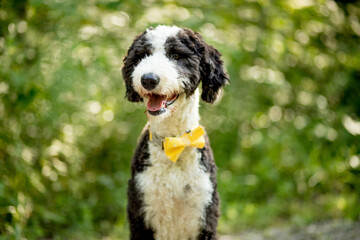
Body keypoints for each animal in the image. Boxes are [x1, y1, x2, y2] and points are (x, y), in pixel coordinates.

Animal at [121, 25, 228, 239]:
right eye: (143, 55)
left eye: (176, 55)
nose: (148, 79)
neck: (174, 142)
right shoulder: (140, 214)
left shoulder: (205, 216)